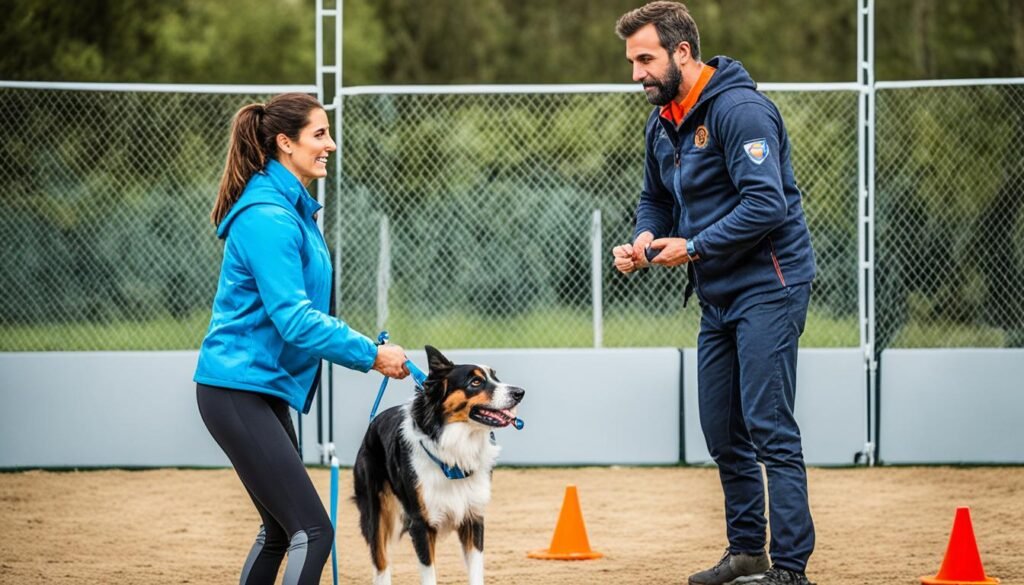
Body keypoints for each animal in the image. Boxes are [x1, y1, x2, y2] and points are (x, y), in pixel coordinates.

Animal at [354, 346, 528, 581]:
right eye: (475, 382)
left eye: (495, 377)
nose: (519, 392)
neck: (454, 455)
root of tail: (373, 423)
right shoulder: (421, 524)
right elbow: (429, 574)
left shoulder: (474, 517)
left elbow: (476, 573)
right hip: (376, 512)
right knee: (380, 562)